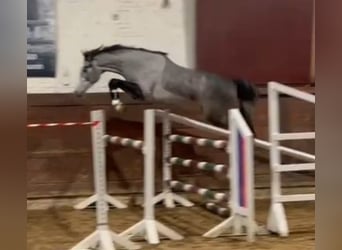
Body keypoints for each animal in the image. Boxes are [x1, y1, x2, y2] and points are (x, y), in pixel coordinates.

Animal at [74, 44, 256, 133]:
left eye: (85, 70)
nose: (77, 93)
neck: (138, 64)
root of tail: (232, 84)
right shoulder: (138, 94)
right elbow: (115, 82)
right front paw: (118, 106)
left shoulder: (143, 93)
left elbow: (113, 81)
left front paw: (118, 106)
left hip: (216, 116)